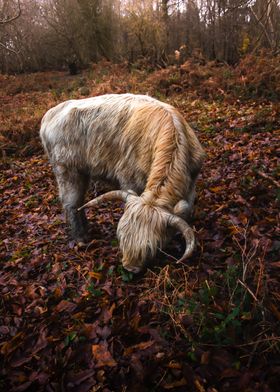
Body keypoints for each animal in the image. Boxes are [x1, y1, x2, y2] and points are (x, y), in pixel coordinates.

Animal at [40, 93, 205, 272]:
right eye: (121, 237)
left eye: (151, 247)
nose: (129, 268)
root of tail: (50, 113)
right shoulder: (129, 179)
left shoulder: (191, 183)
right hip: (66, 170)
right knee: (71, 203)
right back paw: (81, 237)